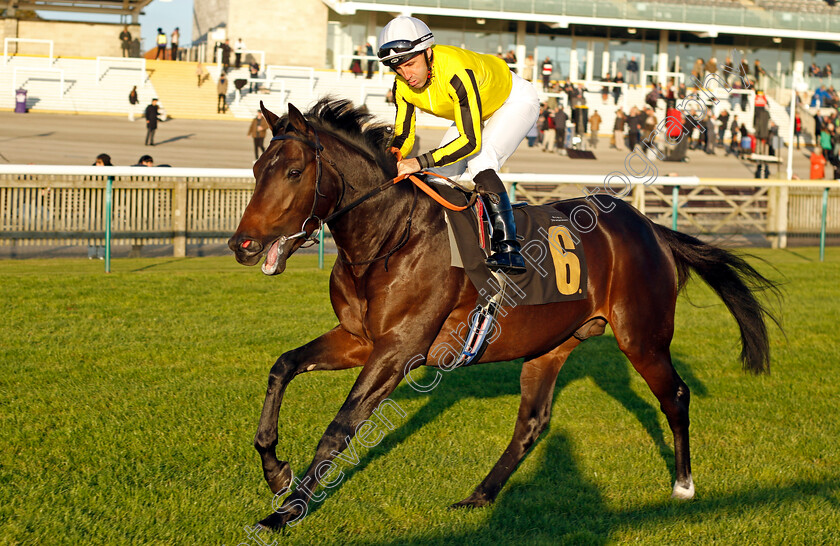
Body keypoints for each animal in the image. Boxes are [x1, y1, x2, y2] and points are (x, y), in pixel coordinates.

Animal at [226, 98, 776, 528]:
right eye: (255, 169)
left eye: (294, 172)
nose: (241, 245)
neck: (390, 237)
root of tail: (652, 229)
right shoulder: (359, 338)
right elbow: (282, 366)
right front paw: (275, 471)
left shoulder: (398, 349)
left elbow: (338, 429)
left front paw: (285, 513)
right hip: (551, 346)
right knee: (533, 423)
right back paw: (480, 495)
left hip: (642, 337)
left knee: (675, 396)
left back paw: (683, 486)